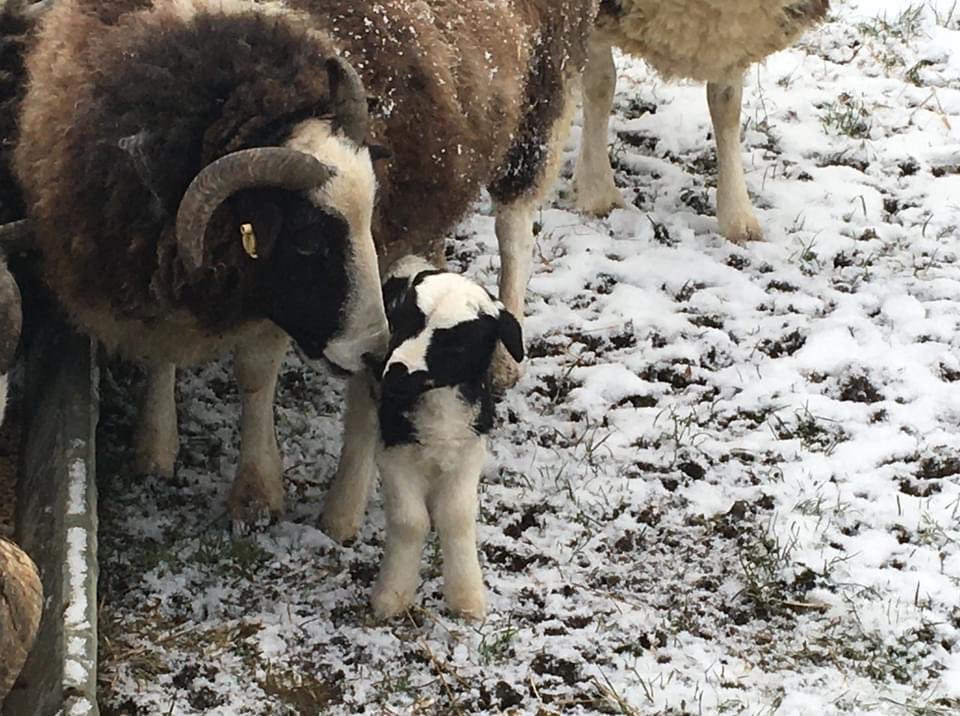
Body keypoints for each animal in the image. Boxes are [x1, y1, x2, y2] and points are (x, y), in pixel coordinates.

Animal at [15, 0, 596, 532]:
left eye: (363, 219)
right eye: (307, 243)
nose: (375, 352)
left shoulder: (271, 305)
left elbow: (254, 376)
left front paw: (255, 492)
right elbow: (161, 355)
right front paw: (155, 446)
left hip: (539, 103)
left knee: (515, 232)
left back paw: (501, 359)